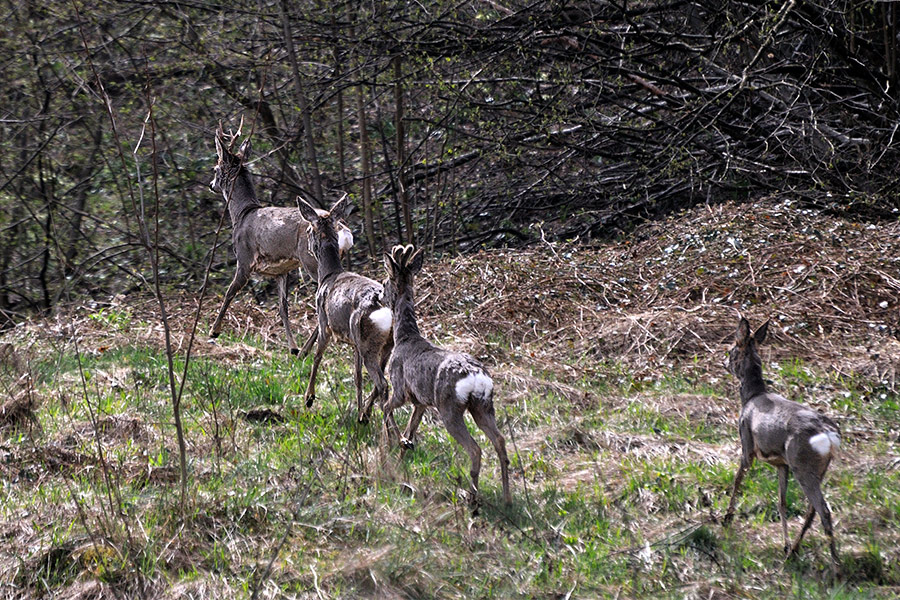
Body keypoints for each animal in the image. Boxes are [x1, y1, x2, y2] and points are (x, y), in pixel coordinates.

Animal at [209, 119, 354, 354]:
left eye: (216, 168)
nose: (211, 185)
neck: (242, 213)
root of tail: (343, 230)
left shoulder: (244, 259)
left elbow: (230, 292)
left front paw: (214, 331)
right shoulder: (281, 271)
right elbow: (282, 308)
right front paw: (292, 347)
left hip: (309, 259)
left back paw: (306, 350)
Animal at [298, 195, 392, 420]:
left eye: (309, 230)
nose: (308, 247)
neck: (329, 274)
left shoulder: (324, 322)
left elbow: (317, 356)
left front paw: (309, 397)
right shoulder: (354, 343)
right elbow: (357, 377)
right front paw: (358, 409)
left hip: (367, 341)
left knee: (382, 383)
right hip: (384, 343)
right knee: (380, 381)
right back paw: (365, 415)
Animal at [380, 245, 510, 506]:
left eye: (386, 281)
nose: (379, 294)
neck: (404, 336)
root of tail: (477, 377)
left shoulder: (400, 388)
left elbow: (387, 408)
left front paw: (398, 444)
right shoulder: (420, 403)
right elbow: (410, 427)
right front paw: (400, 459)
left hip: (449, 407)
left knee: (475, 448)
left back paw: (472, 498)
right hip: (483, 406)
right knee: (500, 441)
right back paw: (507, 498)